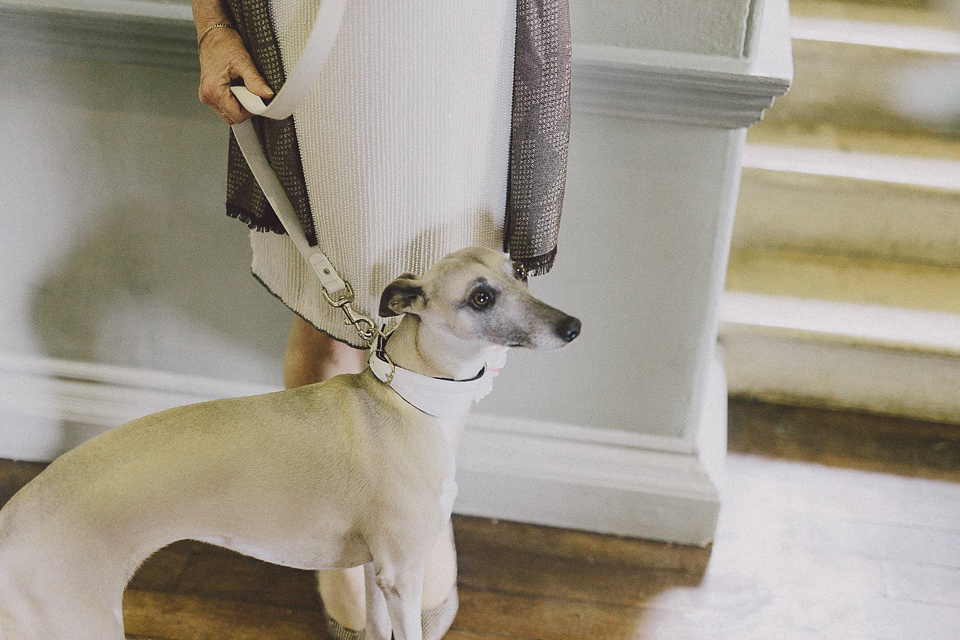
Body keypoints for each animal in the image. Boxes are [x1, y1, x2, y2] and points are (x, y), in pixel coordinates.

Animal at [0, 248, 576, 640]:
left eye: (519, 272)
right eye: (481, 297)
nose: (573, 326)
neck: (406, 399)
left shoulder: (375, 571)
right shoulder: (403, 573)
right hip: (79, 622)